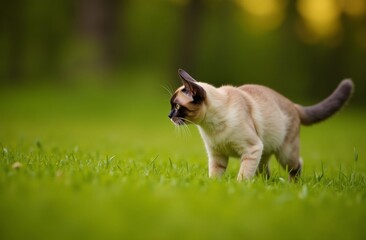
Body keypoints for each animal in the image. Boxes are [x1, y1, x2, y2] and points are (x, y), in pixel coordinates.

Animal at [169, 68, 354, 181]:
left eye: (176, 107)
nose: (169, 115)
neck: (211, 126)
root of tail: (294, 105)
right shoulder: (217, 155)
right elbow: (215, 175)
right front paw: (214, 186)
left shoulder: (251, 149)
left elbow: (242, 176)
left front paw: (239, 187)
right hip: (262, 154)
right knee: (265, 172)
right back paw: (264, 185)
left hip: (284, 154)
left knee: (297, 165)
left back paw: (292, 185)